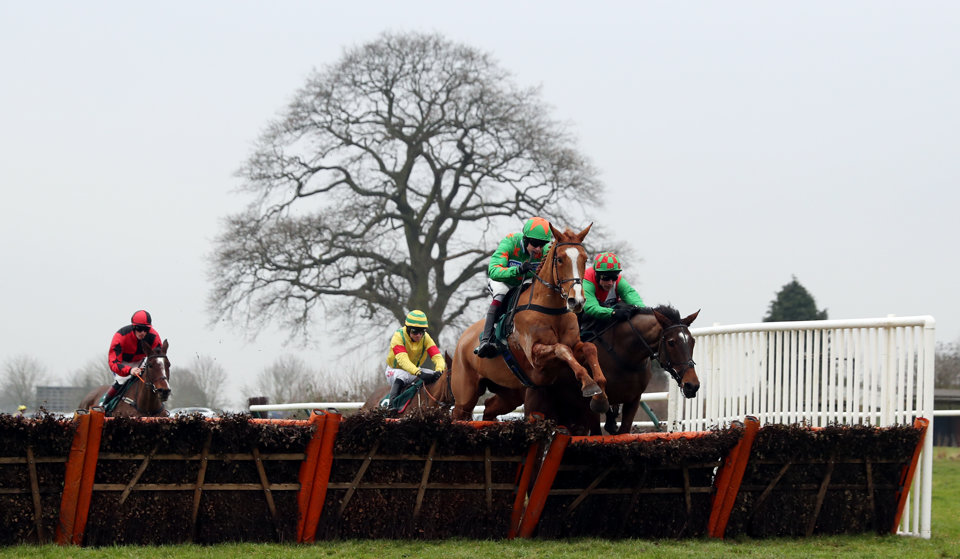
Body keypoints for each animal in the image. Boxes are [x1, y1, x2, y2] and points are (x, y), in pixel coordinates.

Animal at [449, 223, 608, 421]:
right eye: (560, 259)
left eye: (585, 259)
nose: (576, 301)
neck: (551, 309)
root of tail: (462, 340)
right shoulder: (536, 358)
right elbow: (561, 349)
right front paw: (588, 384)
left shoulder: (575, 344)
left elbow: (589, 348)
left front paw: (600, 394)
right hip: (465, 395)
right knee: (458, 413)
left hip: (509, 392)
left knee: (489, 408)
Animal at [524, 305, 700, 435]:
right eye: (671, 342)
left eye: (692, 341)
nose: (692, 385)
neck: (625, 357)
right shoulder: (590, 406)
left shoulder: (633, 400)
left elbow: (624, 431)